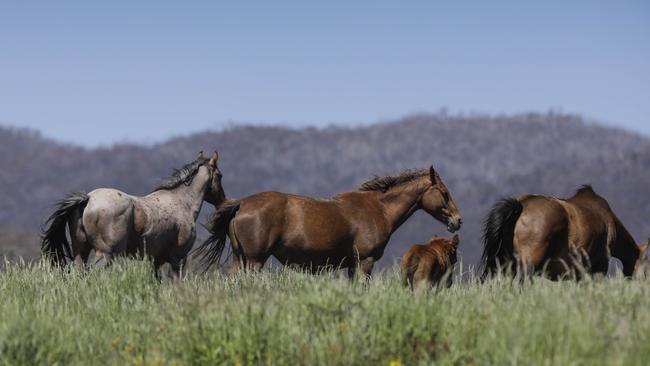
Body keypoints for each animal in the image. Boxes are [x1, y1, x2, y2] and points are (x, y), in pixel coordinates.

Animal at [42, 150, 225, 276]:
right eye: (220, 175)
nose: (222, 201)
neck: (181, 202)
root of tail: (88, 199)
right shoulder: (178, 259)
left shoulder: (156, 261)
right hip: (105, 254)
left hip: (81, 251)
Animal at [197, 166, 460, 278]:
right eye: (444, 192)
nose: (458, 220)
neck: (378, 209)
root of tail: (241, 204)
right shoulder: (365, 262)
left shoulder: (353, 265)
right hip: (254, 261)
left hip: (239, 259)